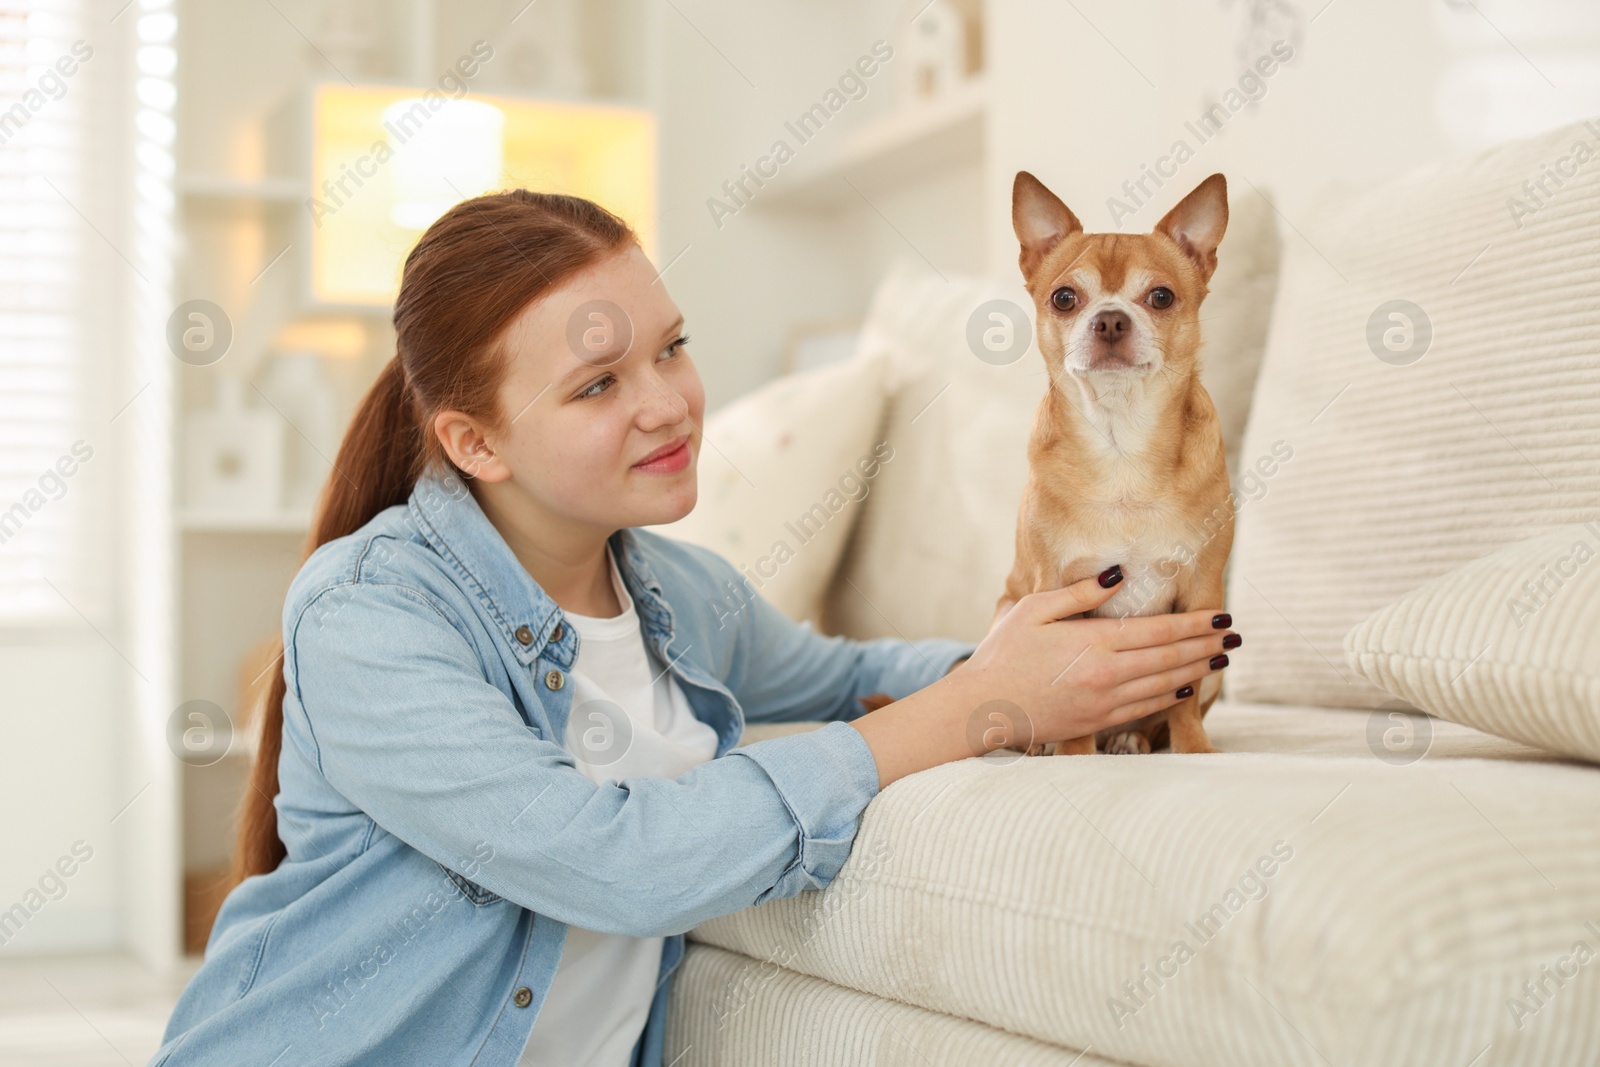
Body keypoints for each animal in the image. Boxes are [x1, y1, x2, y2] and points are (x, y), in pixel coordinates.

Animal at [864, 171, 1235, 755]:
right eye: (1064, 298)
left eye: (1161, 297)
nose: (1110, 319)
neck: (1121, 446)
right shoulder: (1057, 588)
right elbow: (1069, 688)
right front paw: (1074, 756)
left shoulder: (1203, 599)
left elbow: (1187, 692)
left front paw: (1195, 750)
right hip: (1007, 613)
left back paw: (1131, 737)